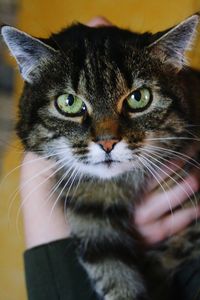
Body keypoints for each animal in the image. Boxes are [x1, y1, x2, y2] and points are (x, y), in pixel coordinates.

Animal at [1, 12, 200, 298]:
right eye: (69, 103)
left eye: (139, 97)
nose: (107, 143)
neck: (123, 185)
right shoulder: (89, 213)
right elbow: (112, 270)